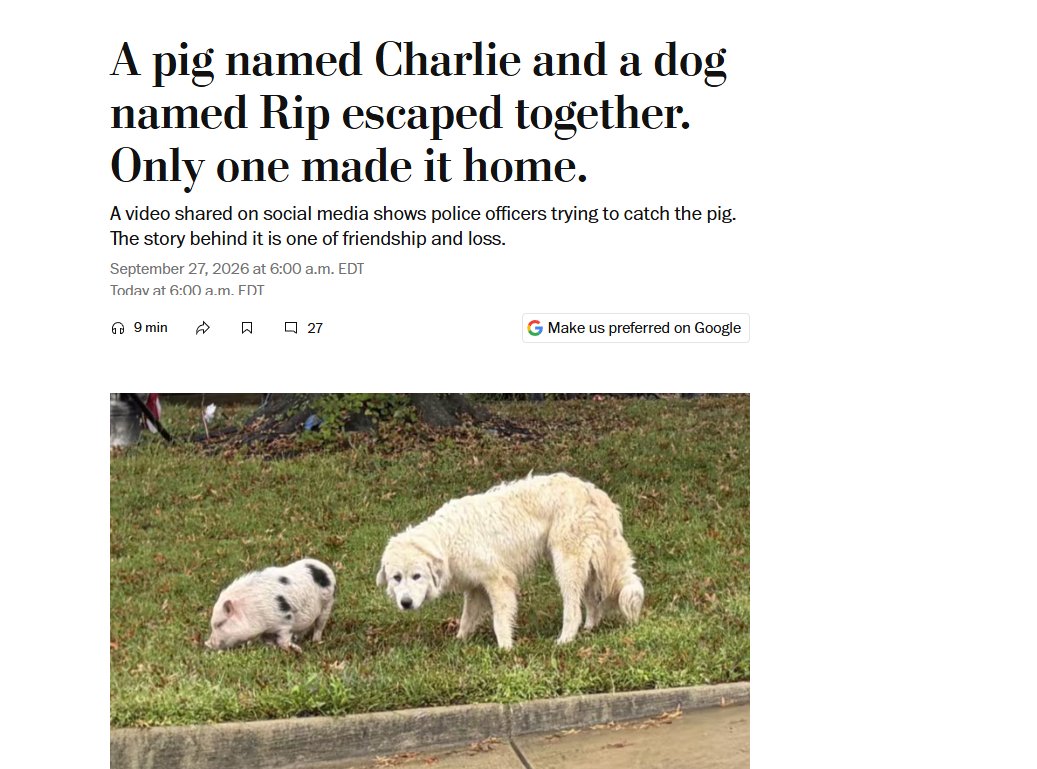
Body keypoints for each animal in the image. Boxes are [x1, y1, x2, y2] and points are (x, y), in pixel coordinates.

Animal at [205, 558, 336, 653]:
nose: (208, 644)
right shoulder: (266, 630)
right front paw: (272, 647)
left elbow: (283, 639)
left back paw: (315, 642)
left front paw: (297, 650)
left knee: (319, 625)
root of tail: (326, 568)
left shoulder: (285, 619)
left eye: (219, 624)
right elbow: (268, 640)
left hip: (327, 603)